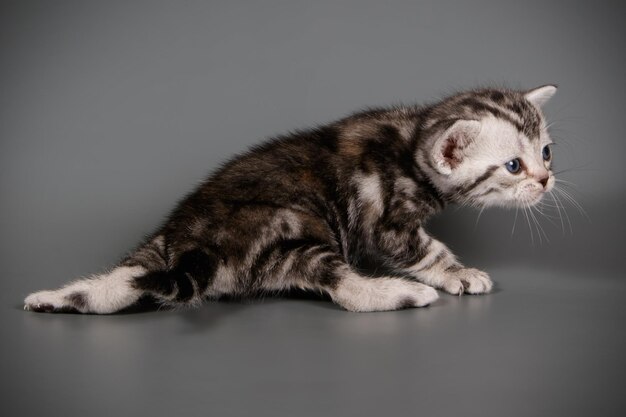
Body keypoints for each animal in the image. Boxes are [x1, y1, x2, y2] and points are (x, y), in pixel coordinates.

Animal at [23, 85, 556, 312]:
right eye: (514, 166)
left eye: (547, 152)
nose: (547, 179)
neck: (409, 142)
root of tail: (193, 240)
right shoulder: (386, 222)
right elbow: (428, 250)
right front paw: (459, 274)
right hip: (295, 229)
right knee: (346, 289)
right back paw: (400, 294)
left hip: (154, 252)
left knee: (117, 283)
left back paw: (55, 299)